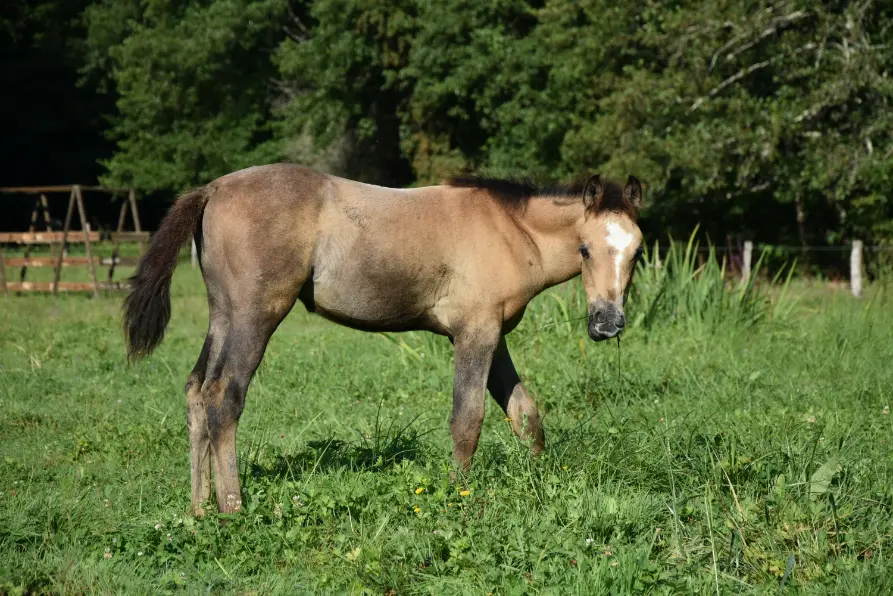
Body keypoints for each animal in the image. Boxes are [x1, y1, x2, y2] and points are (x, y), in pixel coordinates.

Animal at [122, 164, 644, 516]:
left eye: (637, 252)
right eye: (585, 249)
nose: (607, 324)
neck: (509, 231)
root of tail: (213, 188)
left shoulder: (496, 338)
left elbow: (526, 415)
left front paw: (539, 482)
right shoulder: (474, 333)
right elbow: (467, 420)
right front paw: (458, 494)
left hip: (223, 317)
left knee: (196, 391)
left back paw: (199, 509)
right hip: (255, 316)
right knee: (223, 397)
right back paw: (232, 506)